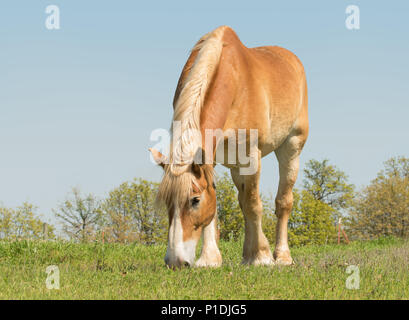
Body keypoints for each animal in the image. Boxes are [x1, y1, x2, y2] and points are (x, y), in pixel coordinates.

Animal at [149, 25, 306, 268]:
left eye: (195, 200)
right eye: (167, 202)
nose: (175, 262)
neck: (235, 83)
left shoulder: (251, 156)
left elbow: (254, 204)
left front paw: (261, 256)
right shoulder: (210, 158)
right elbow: (223, 206)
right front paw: (210, 259)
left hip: (291, 147)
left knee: (283, 202)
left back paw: (281, 256)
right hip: (235, 165)